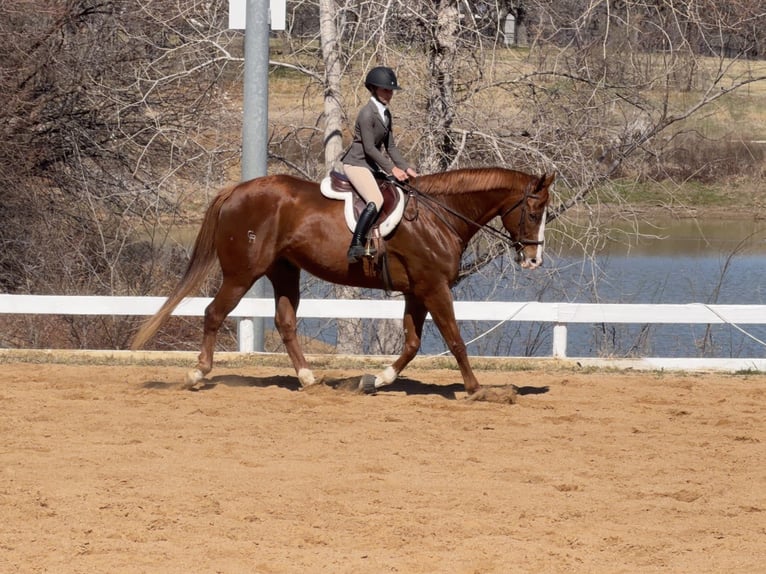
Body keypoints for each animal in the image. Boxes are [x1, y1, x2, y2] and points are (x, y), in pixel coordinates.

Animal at [131, 167, 554, 398]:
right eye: (535, 212)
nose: (534, 260)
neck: (438, 215)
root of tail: (236, 189)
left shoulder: (417, 291)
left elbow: (413, 344)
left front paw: (375, 379)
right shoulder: (434, 288)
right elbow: (454, 339)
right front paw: (477, 389)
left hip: (284, 271)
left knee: (285, 322)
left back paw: (307, 378)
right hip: (241, 274)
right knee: (214, 313)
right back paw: (197, 373)